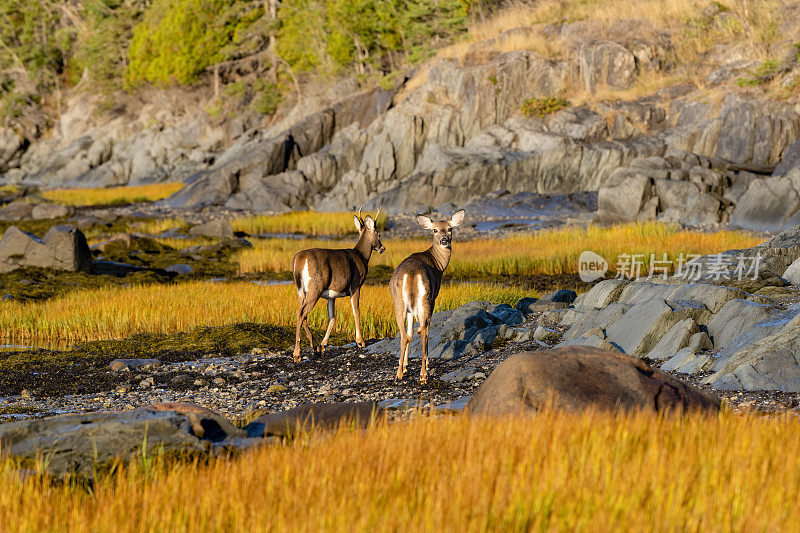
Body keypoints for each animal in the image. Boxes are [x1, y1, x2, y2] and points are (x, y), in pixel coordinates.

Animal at [290, 204, 384, 362]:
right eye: (378, 234)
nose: (382, 248)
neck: (362, 256)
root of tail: (299, 260)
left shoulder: (331, 295)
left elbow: (332, 318)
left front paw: (323, 345)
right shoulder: (355, 285)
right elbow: (356, 311)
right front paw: (361, 341)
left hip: (300, 290)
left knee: (303, 314)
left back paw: (314, 347)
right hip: (315, 287)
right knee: (300, 312)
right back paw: (297, 354)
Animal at [390, 208, 466, 382]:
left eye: (450, 228)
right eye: (435, 230)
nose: (444, 240)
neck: (438, 263)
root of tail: (411, 274)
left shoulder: (410, 309)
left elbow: (410, 332)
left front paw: (405, 366)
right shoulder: (434, 297)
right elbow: (422, 330)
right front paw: (424, 365)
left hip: (399, 301)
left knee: (404, 334)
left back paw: (399, 374)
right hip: (426, 298)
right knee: (424, 331)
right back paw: (423, 374)